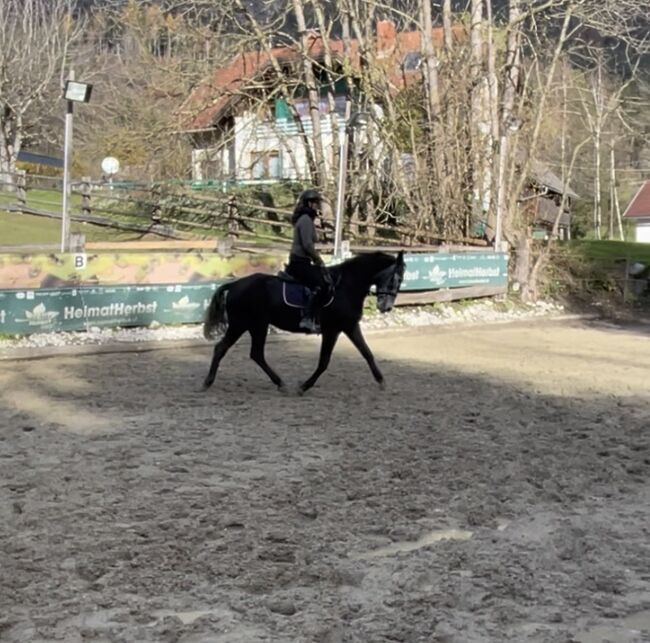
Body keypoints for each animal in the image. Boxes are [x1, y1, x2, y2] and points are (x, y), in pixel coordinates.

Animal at [202, 250, 404, 392]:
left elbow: (367, 353)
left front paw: (382, 381)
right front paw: (304, 387)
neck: (346, 286)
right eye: (395, 278)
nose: (386, 307)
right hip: (248, 325)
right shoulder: (332, 330)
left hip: (250, 325)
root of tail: (235, 284)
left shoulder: (349, 326)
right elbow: (324, 362)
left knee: (244, 352)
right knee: (241, 351)